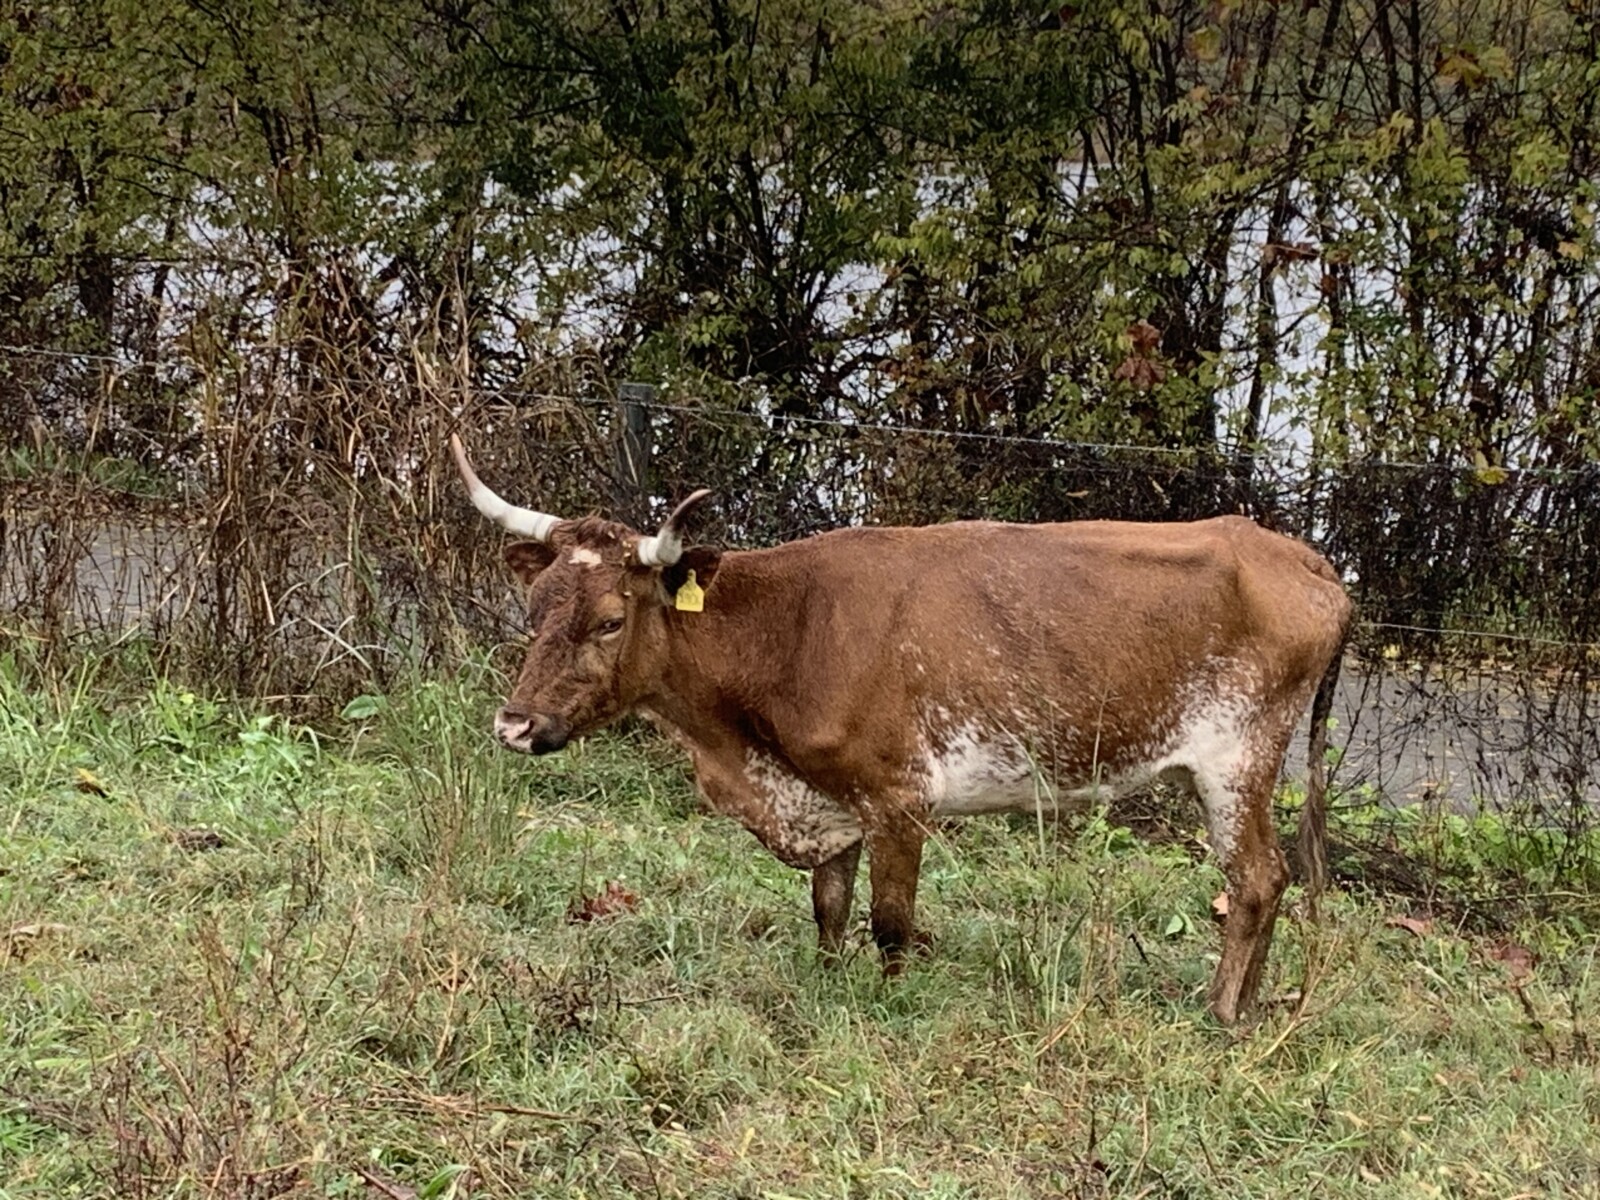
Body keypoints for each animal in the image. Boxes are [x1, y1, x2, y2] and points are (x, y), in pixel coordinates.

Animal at [450, 433, 1351, 1024]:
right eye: (534, 607)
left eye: (609, 620)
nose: (515, 724)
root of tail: (1294, 555)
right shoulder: (830, 800)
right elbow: (828, 908)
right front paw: (824, 982)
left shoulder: (899, 798)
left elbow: (890, 923)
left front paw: (890, 1003)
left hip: (1238, 760)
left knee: (1258, 879)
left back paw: (1223, 1012)